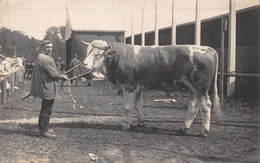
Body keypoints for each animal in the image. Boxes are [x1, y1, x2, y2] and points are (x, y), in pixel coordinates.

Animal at [81, 40, 221, 137]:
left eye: (99, 54)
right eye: (87, 51)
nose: (84, 64)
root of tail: (206, 48)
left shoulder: (129, 85)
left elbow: (128, 107)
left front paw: (126, 124)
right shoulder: (138, 87)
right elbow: (138, 105)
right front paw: (141, 121)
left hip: (200, 87)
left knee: (206, 105)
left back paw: (204, 131)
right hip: (191, 88)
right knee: (193, 107)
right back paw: (184, 127)